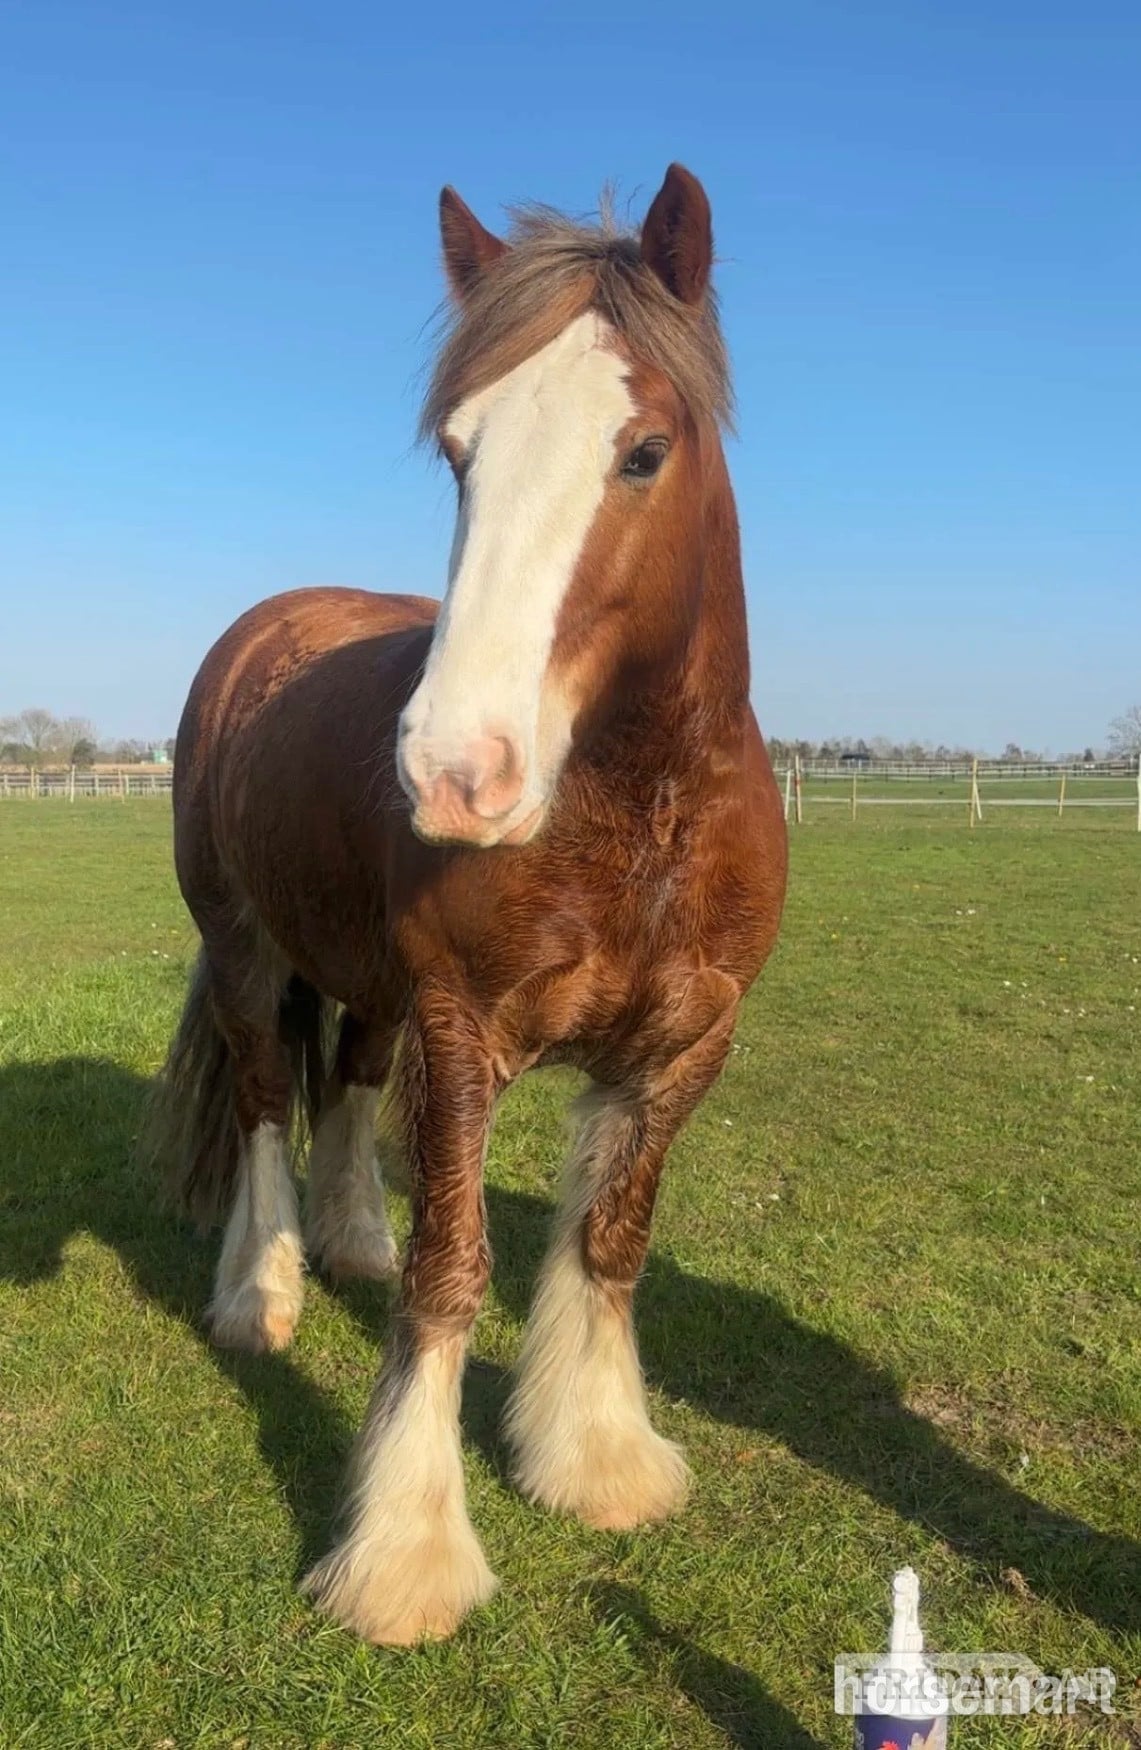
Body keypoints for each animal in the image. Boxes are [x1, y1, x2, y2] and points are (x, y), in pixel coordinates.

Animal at [147, 163, 787, 1646]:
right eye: (458, 453)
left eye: (642, 451)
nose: (454, 769)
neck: (639, 813)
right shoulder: (462, 1030)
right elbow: (456, 1270)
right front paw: (407, 1550)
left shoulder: (684, 1043)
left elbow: (609, 1237)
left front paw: (594, 1456)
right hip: (246, 949)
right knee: (264, 1099)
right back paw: (261, 1291)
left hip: (369, 982)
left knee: (342, 1084)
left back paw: (349, 1244)